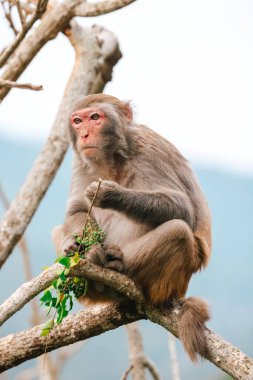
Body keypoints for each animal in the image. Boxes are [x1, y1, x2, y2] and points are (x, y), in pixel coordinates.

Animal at [52, 93, 212, 360]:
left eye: (95, 117)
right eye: (77, 121)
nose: (84, 134)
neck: (112, 158)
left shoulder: (149, 150)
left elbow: (183, 209)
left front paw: (110, 194)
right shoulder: (80, 160)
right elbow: (77, 210)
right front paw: (82, 247)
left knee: (178, 231)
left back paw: (119, 265)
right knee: (59, 229)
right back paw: (84, 261)